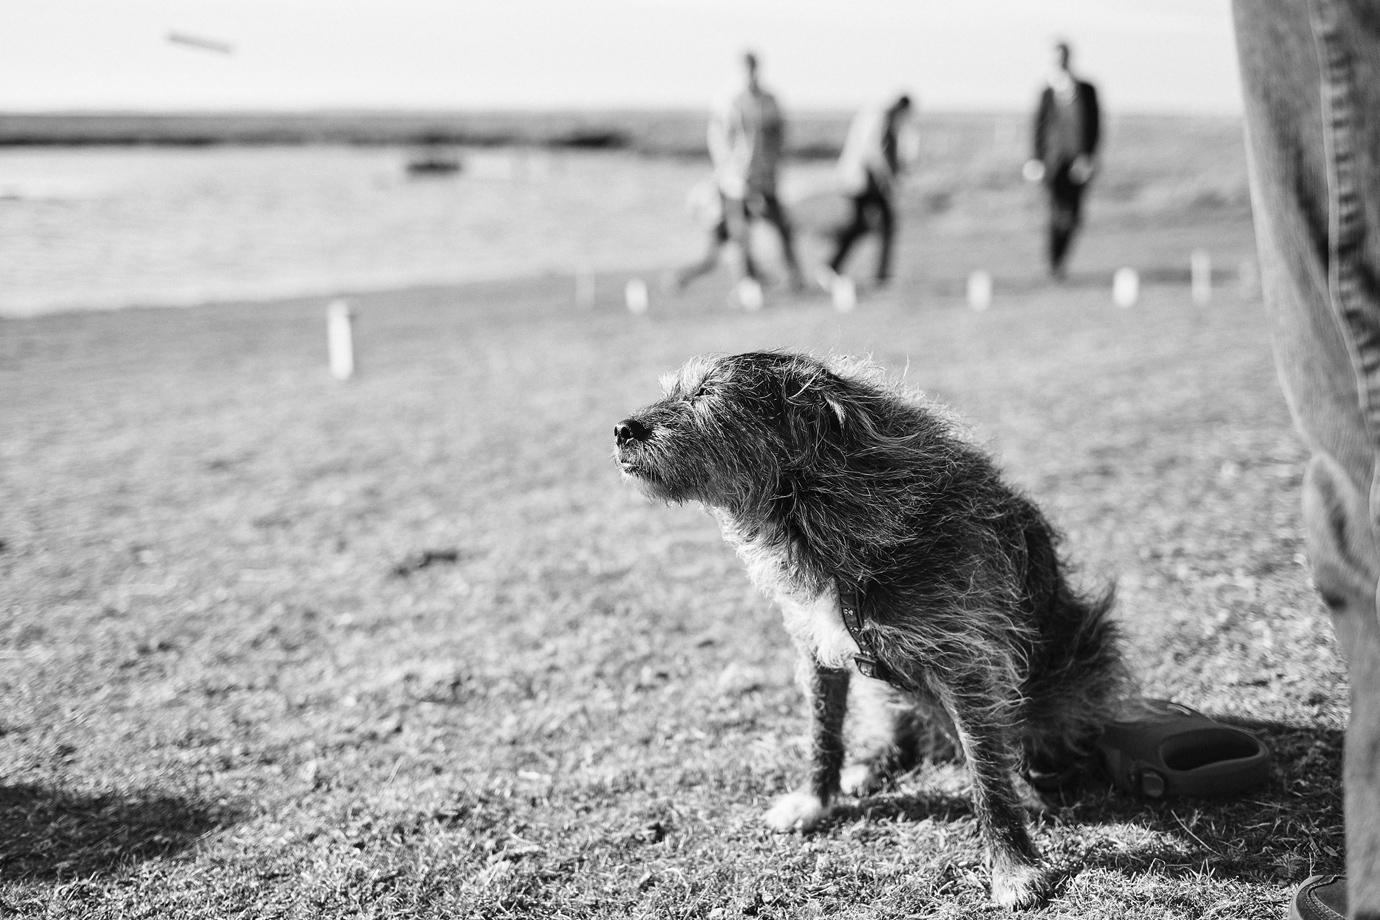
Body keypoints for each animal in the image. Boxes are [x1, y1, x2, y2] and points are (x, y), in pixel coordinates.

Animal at [615, 350, 1131, 904]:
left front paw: (1014, 868)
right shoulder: (818, 650)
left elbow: (987, 774)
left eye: (706, 394)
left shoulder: (967, 667)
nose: (621, 429)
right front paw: (815, 800)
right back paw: (871, 766)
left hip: (1083, 660)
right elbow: (823, 735)